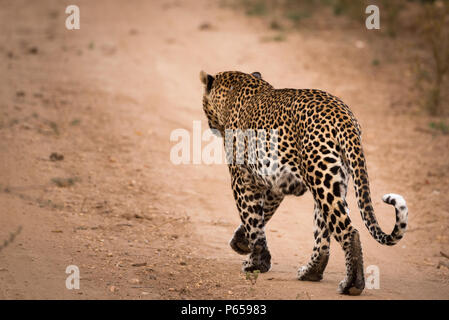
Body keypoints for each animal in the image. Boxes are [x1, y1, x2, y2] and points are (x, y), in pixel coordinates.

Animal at [199, 70, 406, 296]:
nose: (210, 125)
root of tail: (343, 116)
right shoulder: (276, 185)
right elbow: (261, 217)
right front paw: (242, 242)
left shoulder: (243, 179)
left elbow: (252, 218)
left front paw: (255, 263)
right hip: (331, 181)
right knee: (323, 236)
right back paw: (311, 272)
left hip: (321, 178)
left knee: (349, 232)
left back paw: (351, 285)